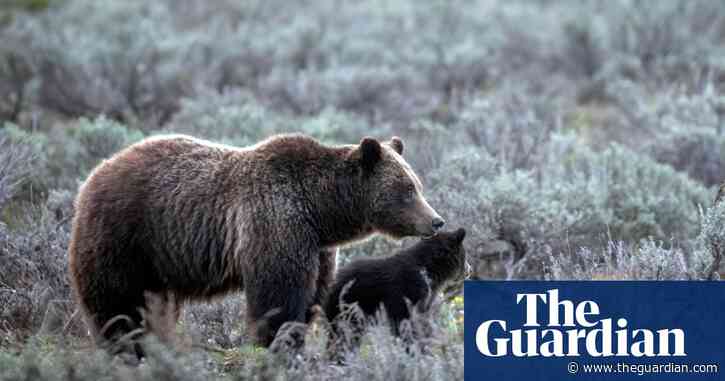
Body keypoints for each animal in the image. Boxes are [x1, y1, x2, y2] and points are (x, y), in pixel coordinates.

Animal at [69, 133, 442, 348]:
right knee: (117, 303)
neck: (321, 211)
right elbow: (278, 295)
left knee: (155, 304)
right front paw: (278, 343)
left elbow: (312, 296)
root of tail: (94, 174)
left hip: (158, 260)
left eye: (417, 185)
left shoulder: (317, 247)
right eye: (406, 190)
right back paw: (125, 345)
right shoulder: (277, 222)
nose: (436, 220)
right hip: (125, 236)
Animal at [326, 226, 466, 336]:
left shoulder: (427, 295)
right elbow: (404, 319)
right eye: (465, 256)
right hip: (349, 304)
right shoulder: (406, 289)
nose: (468, 270)